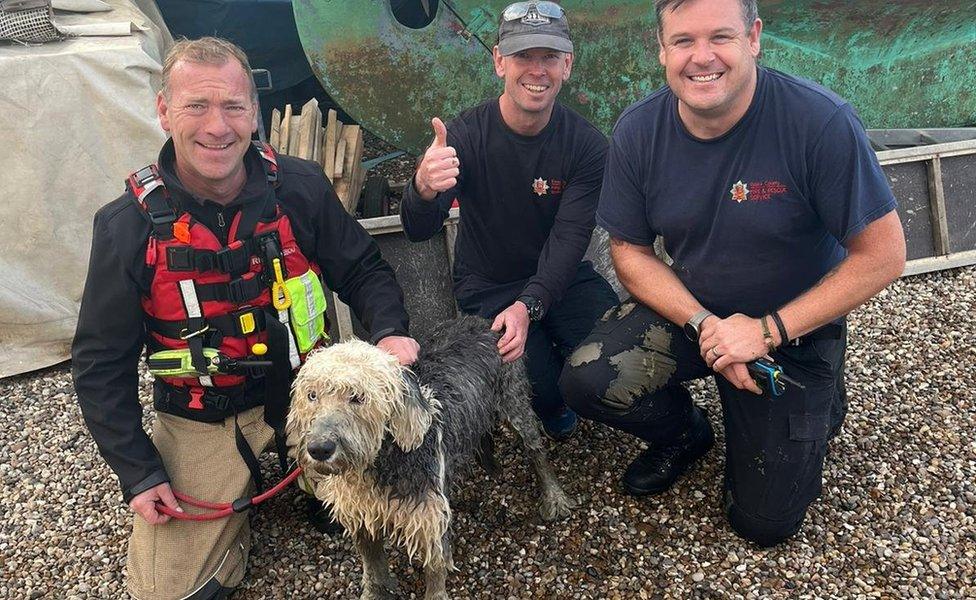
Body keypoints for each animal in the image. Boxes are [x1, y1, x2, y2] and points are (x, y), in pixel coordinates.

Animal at [286, 316, 576, 596]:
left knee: (535, 450)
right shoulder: (361, 514)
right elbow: (372, 566)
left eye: (358, 397)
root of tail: (486, 322)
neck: (381, 463)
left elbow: (435, 570)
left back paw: (554, 497)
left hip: (514, 402)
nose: (319, 448)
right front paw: (376, 591)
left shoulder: (429, 518)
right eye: (312, 395)